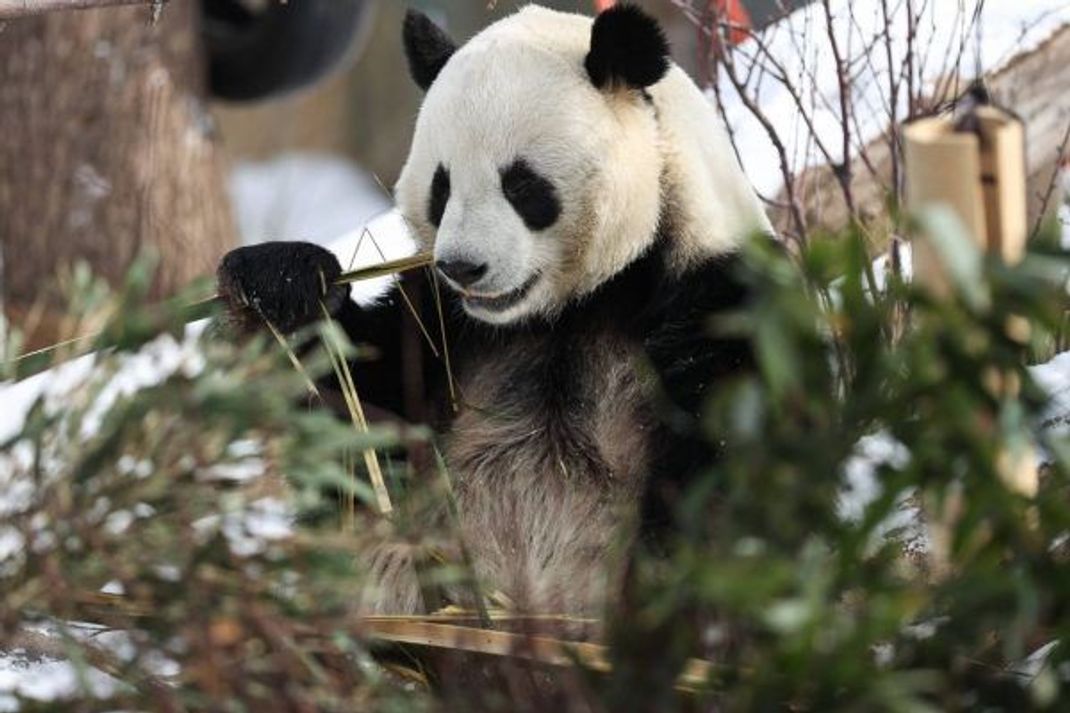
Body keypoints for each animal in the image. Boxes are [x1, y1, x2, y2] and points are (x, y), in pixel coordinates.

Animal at [215, 2, 770, 616]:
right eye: (442, 187)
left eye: (522, 185)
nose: (463, 267)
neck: (568, 308)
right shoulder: (440, 324)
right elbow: (360, 427)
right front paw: (281, 283)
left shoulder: (717, 298)